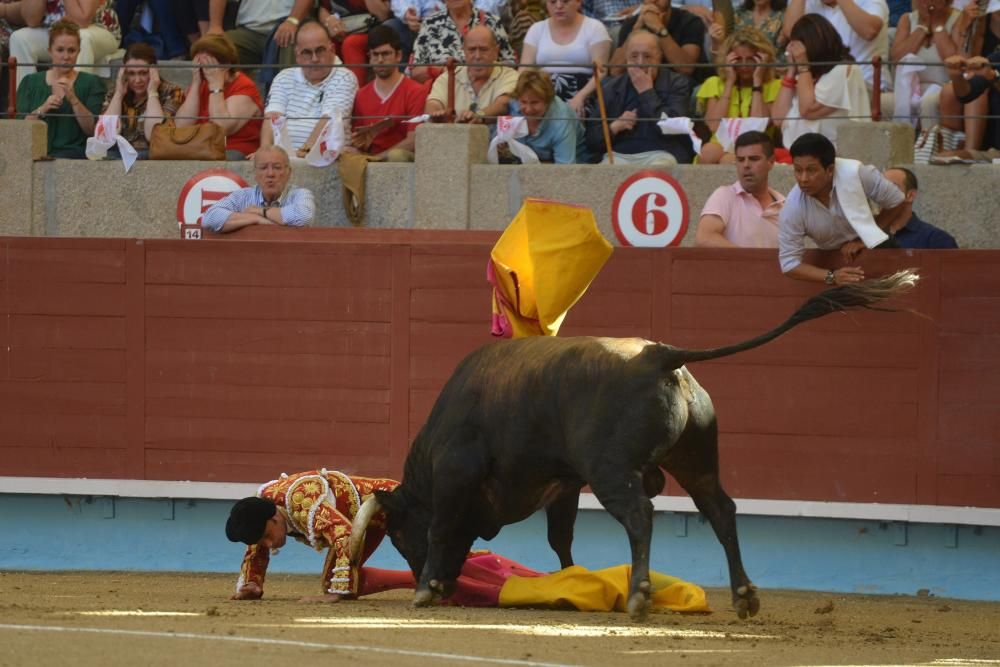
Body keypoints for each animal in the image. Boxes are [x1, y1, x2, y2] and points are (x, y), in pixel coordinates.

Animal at [366, 270, 916, 620]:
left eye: (398, 537)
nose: (439, 585)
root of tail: (662, 355)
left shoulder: (457, 472)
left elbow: (444, 526)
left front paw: (425, 589)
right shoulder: (565, 483)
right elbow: (560, 539)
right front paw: (571, 582)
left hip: (612, 472)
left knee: (639, 515)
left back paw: (640, 596)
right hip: (696, 462)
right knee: (721, 510)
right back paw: (742, 596)